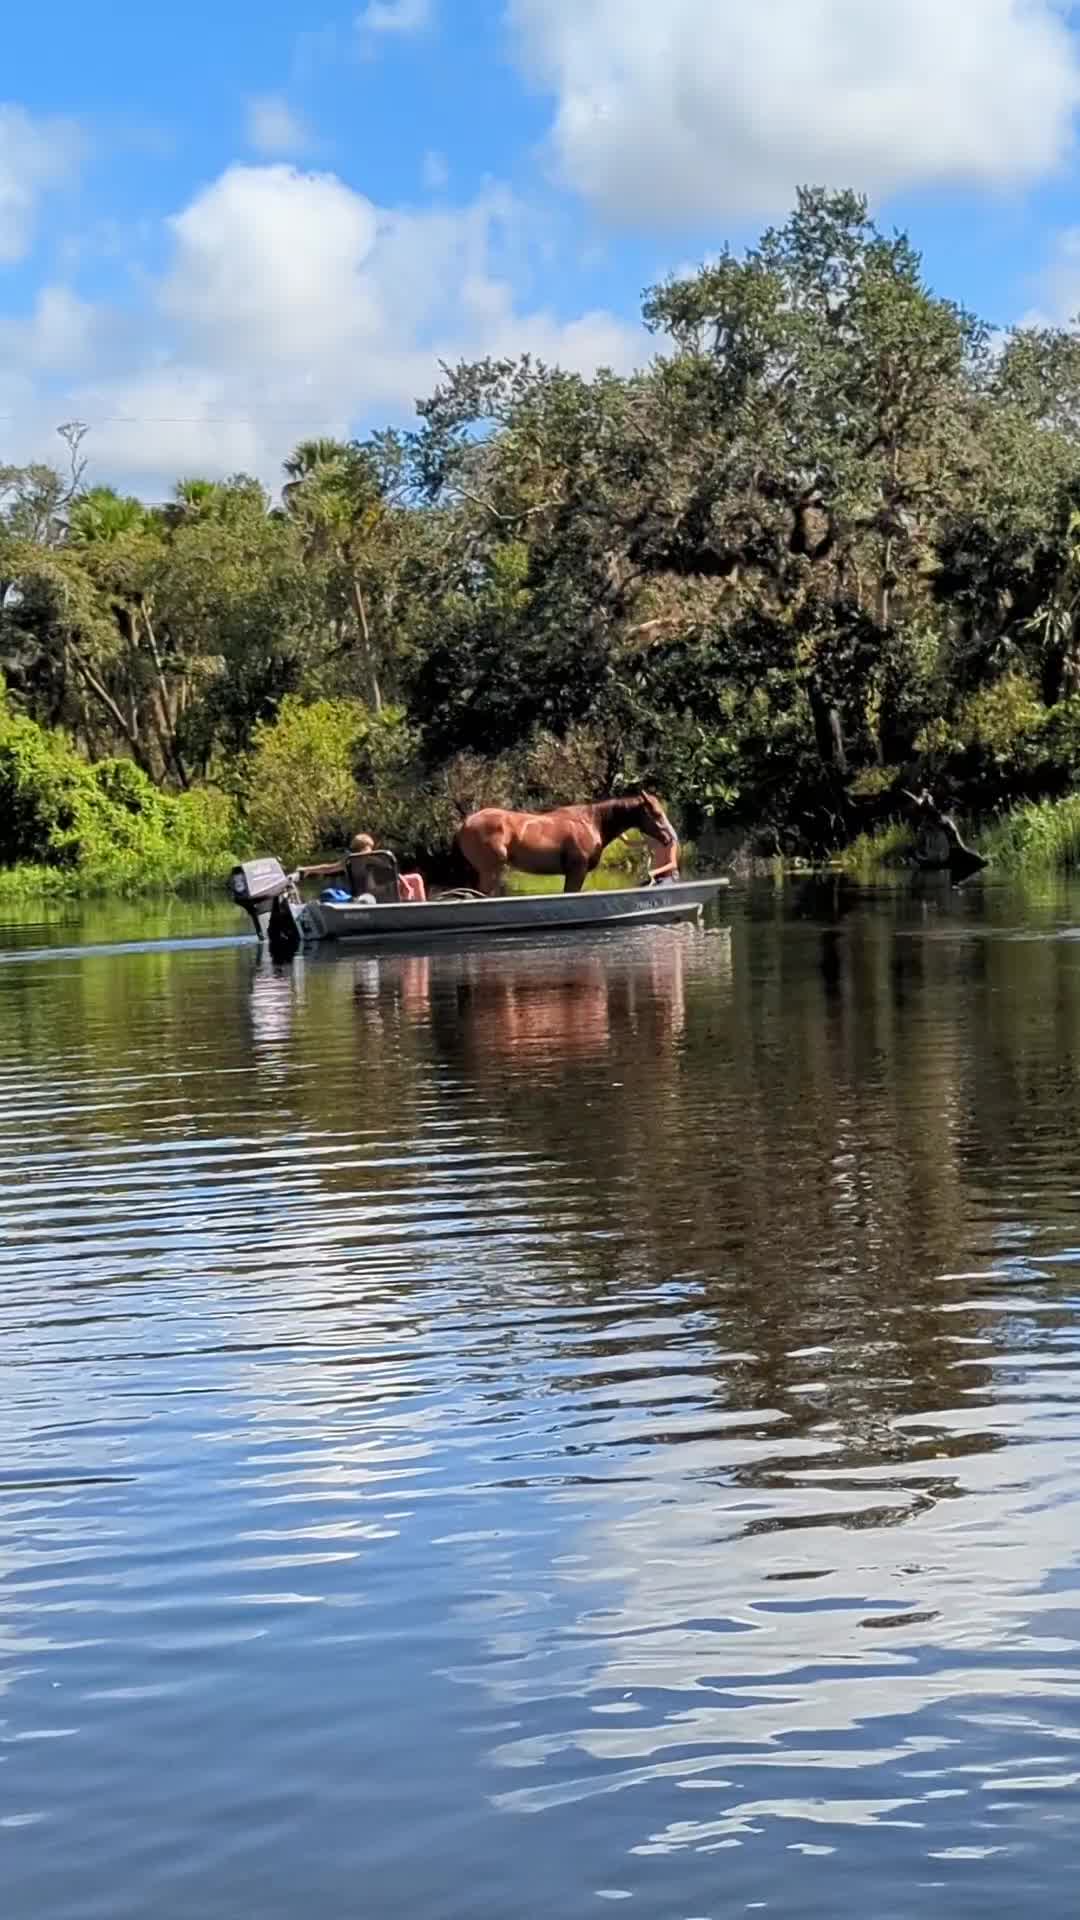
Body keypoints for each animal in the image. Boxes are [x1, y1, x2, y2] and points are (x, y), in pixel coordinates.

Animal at [455, 791, 677, 895]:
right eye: (656, 813)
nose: (671, 837)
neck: (595, 823)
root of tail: (464, 824)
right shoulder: (576, 870)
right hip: (490, 870)